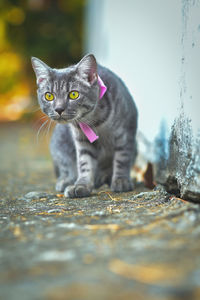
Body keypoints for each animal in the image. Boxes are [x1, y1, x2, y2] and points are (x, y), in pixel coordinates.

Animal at [31, 53, 138, 199]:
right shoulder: (82, 141)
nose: (59, 109)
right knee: (65, 168)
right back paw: (66, 180)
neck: (94, 120)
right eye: (49, 96)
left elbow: (122, 158)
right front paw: (81, 185)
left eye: (73, 94)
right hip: (59, 146)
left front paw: (121, 180)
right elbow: (85, 163)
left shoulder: (125, 134)